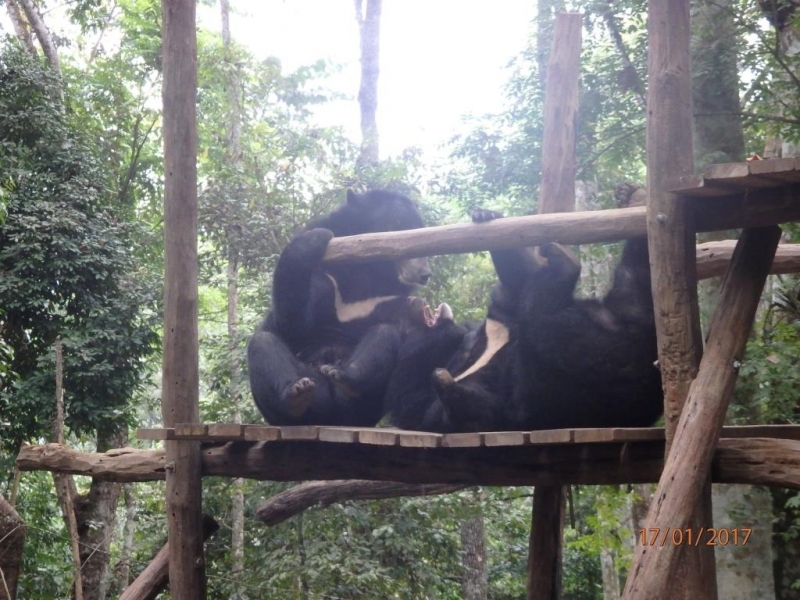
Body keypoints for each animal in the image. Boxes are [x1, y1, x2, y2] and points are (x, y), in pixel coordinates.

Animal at [250, 190, 438, 424]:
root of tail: (331, 416)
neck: (367, 272)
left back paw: (343, 376)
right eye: (399, 225)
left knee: (384, 333)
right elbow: (292, 325)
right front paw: (316, 238)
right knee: (263, 343)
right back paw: (296, 394)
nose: (424, 274)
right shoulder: (325, 280)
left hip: (365, 404)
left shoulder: (390, 299)